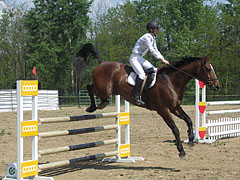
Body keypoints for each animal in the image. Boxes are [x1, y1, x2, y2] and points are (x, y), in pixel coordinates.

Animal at [74, 43, 220, 159]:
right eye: (208, 69)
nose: (217, 86)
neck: (171, 81)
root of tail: (102, 63)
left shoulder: (175, 108)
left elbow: (189, 120)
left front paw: (190, 141)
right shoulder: (163, 110)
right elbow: (175, 129)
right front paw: (181, 151)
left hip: (109, 90)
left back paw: (101, 104)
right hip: (104, 89)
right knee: (90, 87)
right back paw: (93, 107)